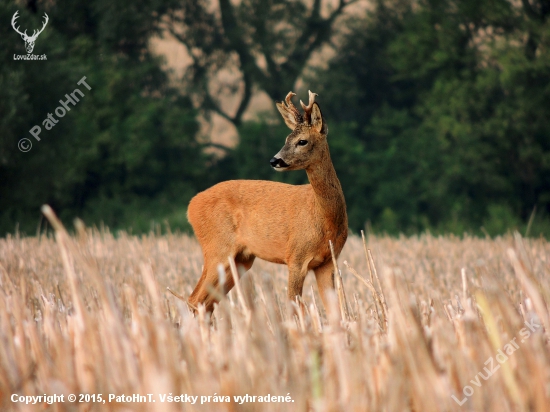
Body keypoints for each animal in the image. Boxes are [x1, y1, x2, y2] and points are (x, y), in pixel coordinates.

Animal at [188, 90, 348, 312]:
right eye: (287, 138)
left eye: (302, 141)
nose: (275, 160)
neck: (325, 219)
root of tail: (191, 206)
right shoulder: (296, 257)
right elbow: (293, 306)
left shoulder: (328, 262)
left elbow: (336, 310)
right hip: (217, 248)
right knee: (194, 299)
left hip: (241, 259)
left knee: (206, 302)